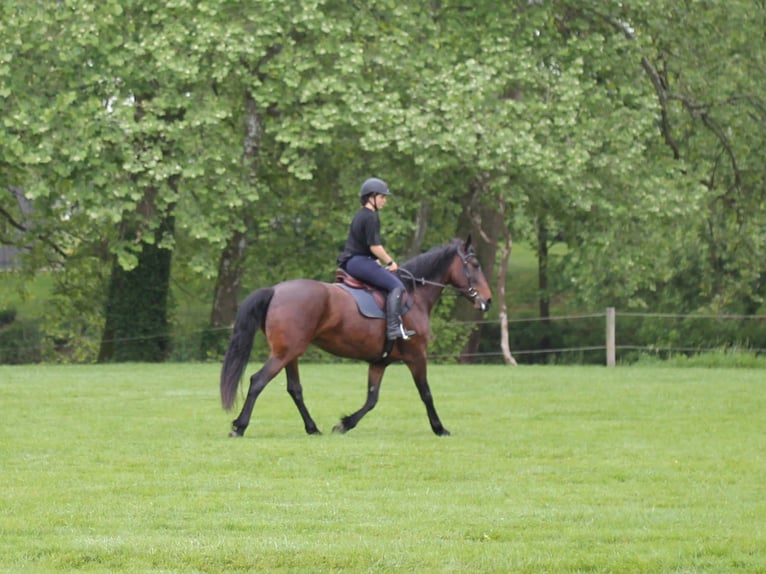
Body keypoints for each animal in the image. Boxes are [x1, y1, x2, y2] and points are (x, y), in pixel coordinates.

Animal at [219, 236, 493, 437]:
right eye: (475, 265)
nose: (488, 300)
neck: (415, 296)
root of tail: (275, 290)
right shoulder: (417, 356)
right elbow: (425, 393)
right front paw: (439, 428)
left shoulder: (379, 362)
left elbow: (372, 398)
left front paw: (345, 423)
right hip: (284, 353)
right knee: (258, 381)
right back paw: (240, 426)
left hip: (290, 353)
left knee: (294, 389)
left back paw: (312, 428)